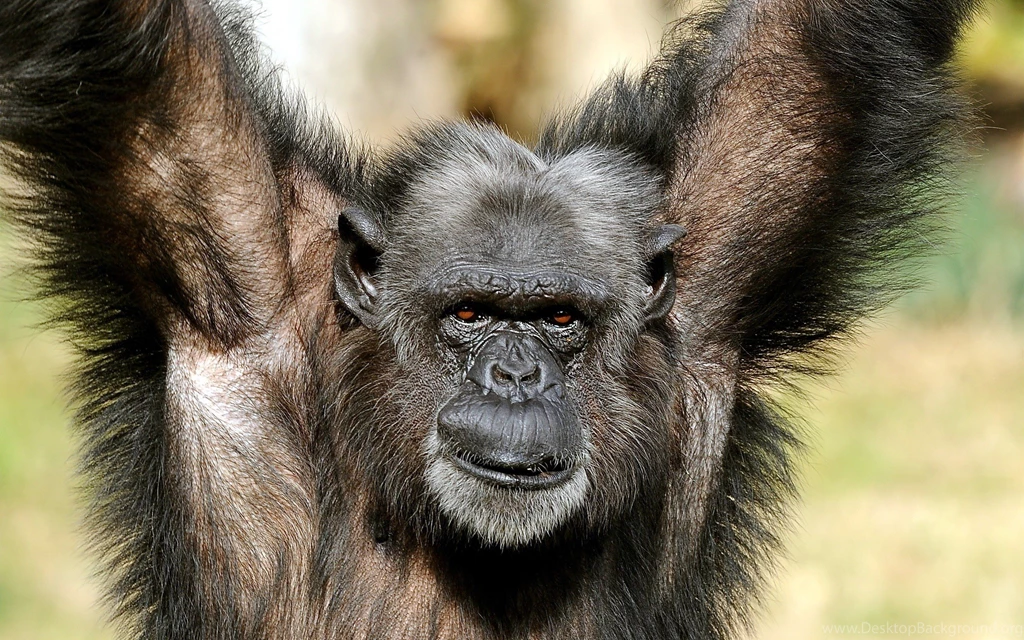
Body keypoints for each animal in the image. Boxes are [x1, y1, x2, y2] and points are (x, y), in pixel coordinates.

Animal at [0, 0, 978, 638]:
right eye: (470, 311)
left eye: (559, 319)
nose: (514, 376)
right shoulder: (233, 266)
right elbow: (151, 68)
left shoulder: (714, 268)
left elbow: (804, 56)